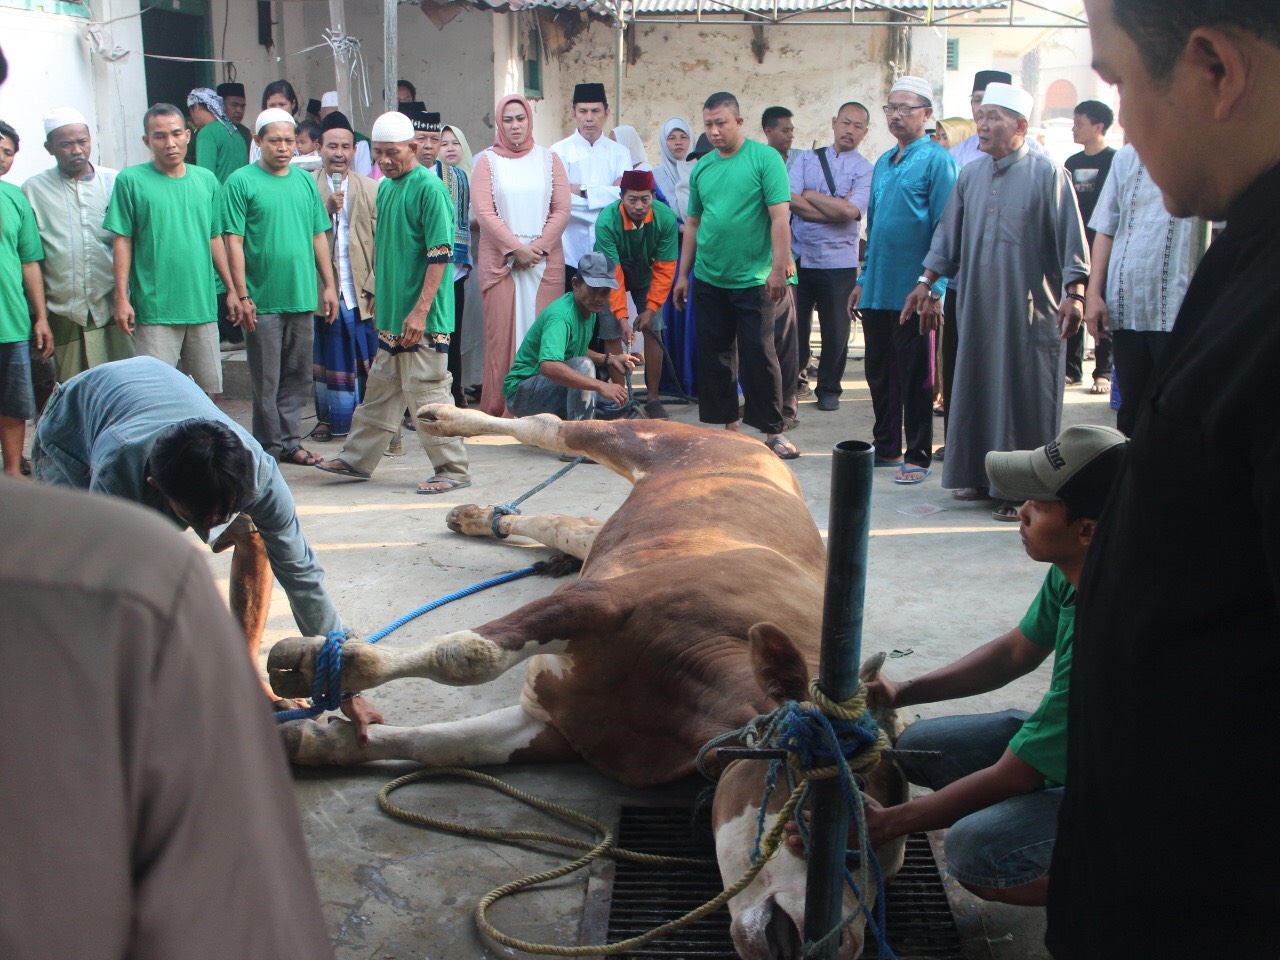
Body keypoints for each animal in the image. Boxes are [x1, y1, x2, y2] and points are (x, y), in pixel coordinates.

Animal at [270, 407, 911, 960]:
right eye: (844, 823)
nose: (837, 945)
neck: (682, 696)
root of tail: (753, 447)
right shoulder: (595, 604)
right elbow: (469, 655)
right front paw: (316, 664)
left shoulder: (550, 725)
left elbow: (445, 746)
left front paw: (315, 741)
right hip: (646, 440)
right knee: (549, 426)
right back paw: (443, 418)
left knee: (571, 524)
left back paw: (479, 516)